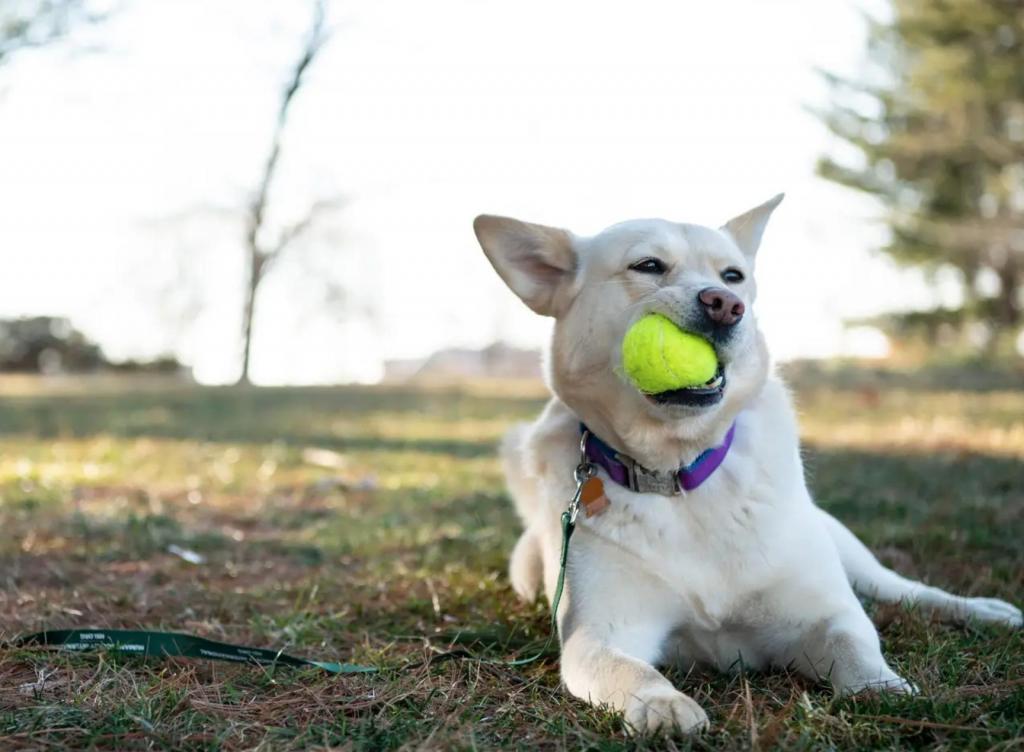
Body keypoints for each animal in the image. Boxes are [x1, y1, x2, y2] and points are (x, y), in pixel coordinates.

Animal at [473, 197, 1024, 737]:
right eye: (648, 265)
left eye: (733, 275)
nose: (724, 304)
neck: (680, 475)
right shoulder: (600, 632)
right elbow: (629, 671)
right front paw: (663, 705)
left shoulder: (824, 612)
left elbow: (854, 644)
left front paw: (882, 689)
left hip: (857, 560)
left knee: (910, 591)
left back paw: (986, 611)